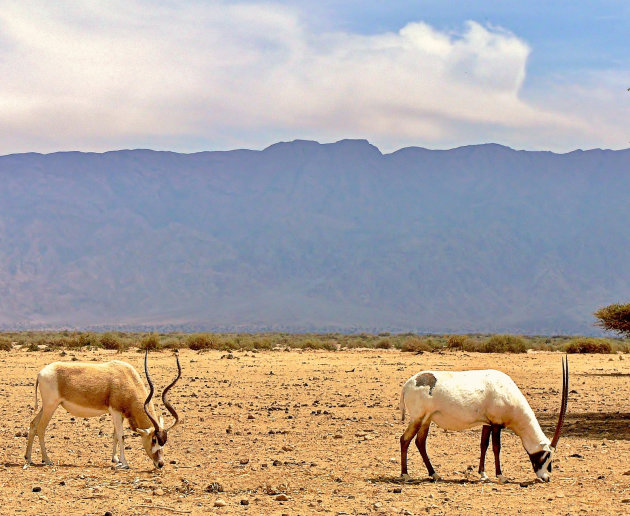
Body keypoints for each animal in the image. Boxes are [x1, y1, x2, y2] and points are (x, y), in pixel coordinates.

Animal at [24, 350, 181, 468]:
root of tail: (40, 373)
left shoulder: (120, 414)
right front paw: (125, 463)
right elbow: (121, 436)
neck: (126, 377)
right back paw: (47, 460)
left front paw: (115, 459)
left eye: (164, 441)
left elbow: (115, 435)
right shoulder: (115, 411)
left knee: (33, 424)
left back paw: (29, 458)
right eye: (154, 439)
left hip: (46, 407)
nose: (160, 464)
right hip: (51, 406)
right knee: (41, 428)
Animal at [400, 354, 572, 484]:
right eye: (546, 456)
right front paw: (501, 476)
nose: (546, 478)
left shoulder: (487, 423)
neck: (508, 392)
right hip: (418, 418)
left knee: (420, 442)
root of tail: (408, 384)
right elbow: (496, 447)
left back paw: (434, 474)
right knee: (405, 439)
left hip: (426, 420)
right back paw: (405, 475)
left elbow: (484, 445)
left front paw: (483, 474)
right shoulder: (496, 424)